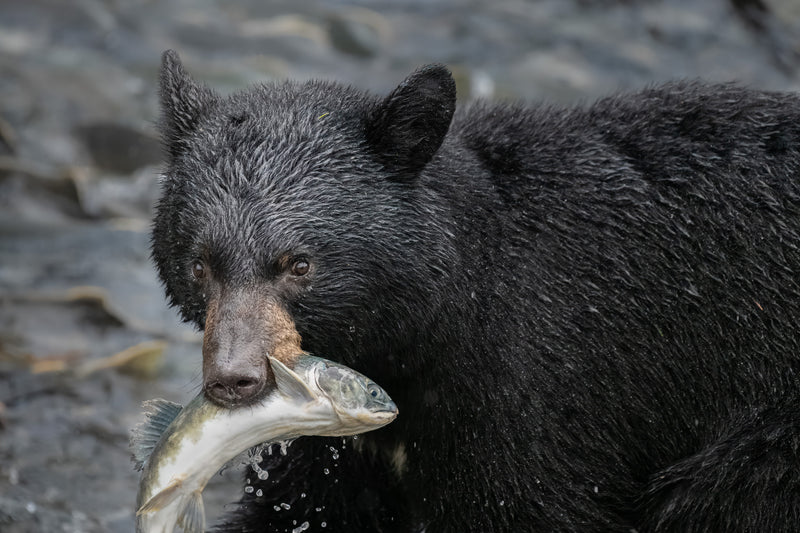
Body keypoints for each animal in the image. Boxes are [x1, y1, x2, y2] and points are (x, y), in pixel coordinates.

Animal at [151, 49, 800, 532]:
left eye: (299, 264)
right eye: (200, 265)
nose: (234, 380)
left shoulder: (533, 394)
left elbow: (524, 503)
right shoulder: (328, 439)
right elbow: (304, 509)